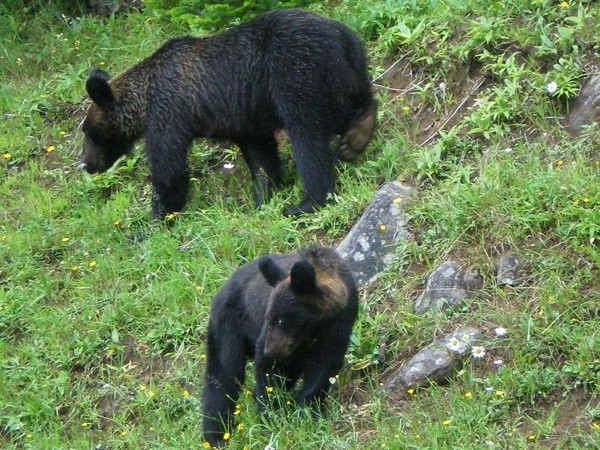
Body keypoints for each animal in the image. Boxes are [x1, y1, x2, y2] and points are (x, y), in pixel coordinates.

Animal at [79, 7, 376, 217]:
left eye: (88, 131)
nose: (86, 163)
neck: (143, 101)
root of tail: (341, 34)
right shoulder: (243, 119)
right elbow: (261, 154)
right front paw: (263, 195)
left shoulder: (169, 112)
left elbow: (169, 170)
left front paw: (153, 219)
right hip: (345, 72)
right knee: (349, 105)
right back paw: (357, 134)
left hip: (296, 70)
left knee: (307, 135)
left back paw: (306, 201)